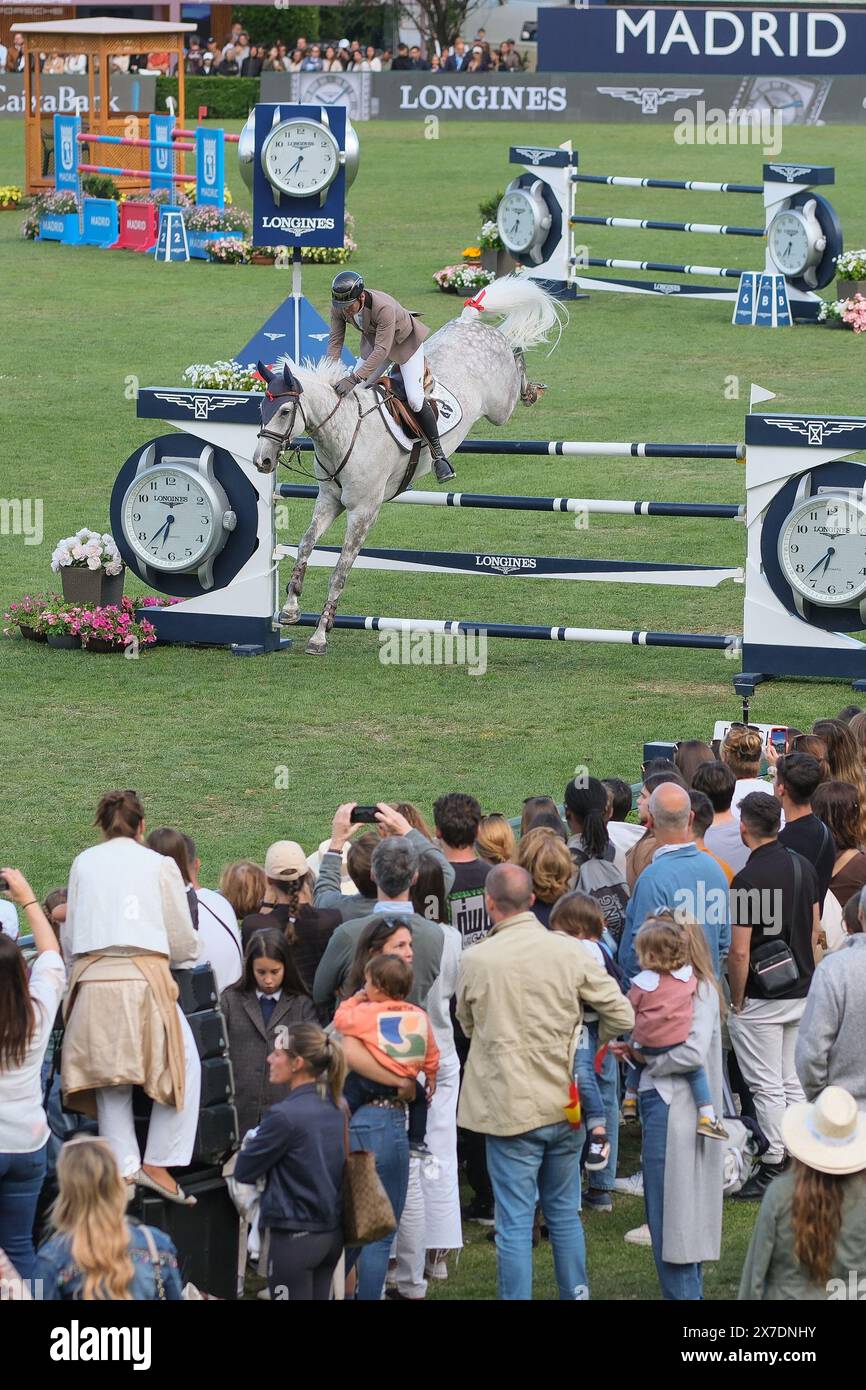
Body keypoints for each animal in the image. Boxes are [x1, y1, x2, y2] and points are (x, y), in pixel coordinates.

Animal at [250, 279, 567, 658]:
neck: (345, 431)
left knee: (515, 358)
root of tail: (468, 321)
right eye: (262, 410)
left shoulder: (363, 512)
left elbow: (340, 570)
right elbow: (305, 546)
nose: (262, 461)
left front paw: (320, 635)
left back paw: (531, 388)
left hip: (499, 409)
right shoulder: (328, 501)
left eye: (285, 412)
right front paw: (290, 609)